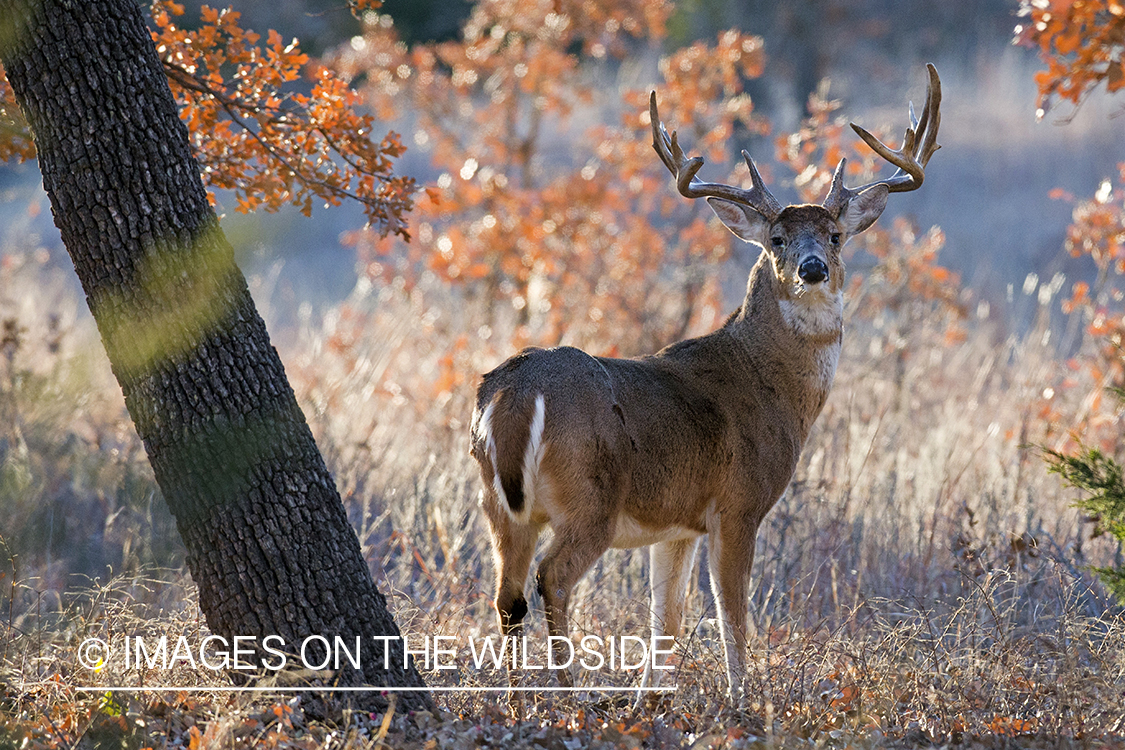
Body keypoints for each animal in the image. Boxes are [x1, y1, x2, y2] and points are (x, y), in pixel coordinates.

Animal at [465, 61, 940, 701]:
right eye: (777, 240)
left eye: (836, 236)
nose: (813, 268)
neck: (772, 388)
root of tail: (514, 393)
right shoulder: (737, 503)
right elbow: (730, 612)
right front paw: (745, 698)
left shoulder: (677, 523)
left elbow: (665, 613)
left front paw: (651, 698)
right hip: (592, 494)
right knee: (552, 578)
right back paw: (568, 696)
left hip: (498, 501)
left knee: (507, 595)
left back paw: (518, 700)